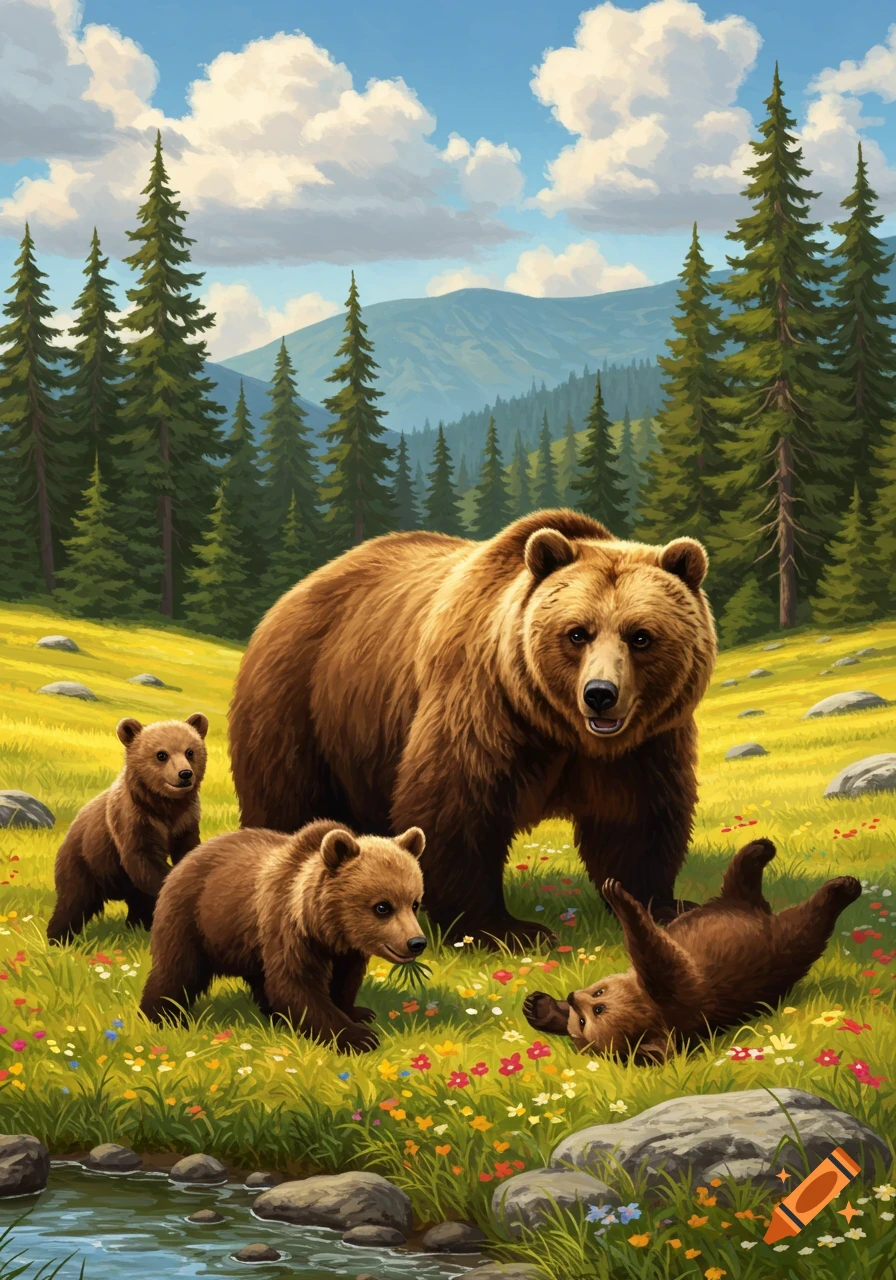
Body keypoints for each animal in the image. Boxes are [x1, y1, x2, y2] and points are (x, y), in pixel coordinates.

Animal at [46, 714, 209, 943]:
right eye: (161, 754)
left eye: (190, 751)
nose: (185, 773)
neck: (164, 805)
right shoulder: (132, 820)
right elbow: (143, 859)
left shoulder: (185, 822)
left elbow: (187, 849)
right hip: (84, 861)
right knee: (73, 901)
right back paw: (58, 938)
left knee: (138, 902)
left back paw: (139, 926)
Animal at [139, 820, 426, 1053]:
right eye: (382, 907)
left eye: (414, 903)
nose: (416, 943)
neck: (326, 927)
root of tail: (184, 861)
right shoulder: (289, 930)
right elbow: (296, 985)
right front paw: (359, 1038)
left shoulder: (346, 951)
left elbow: (345, 980)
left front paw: (358, 1012)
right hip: (192, 918)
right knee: (177, 969)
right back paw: (161, 1016)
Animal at [228, 509, 717, 948]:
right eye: (577, 632)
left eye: (641, 636)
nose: (600, 693)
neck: (560, 729)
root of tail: (292, 593)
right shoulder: (483, 704)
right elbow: (457, 805)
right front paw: (505, 930)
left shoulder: (645, 744)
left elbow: (638, 818)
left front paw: (666, 906)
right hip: (304, 709)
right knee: (290, 804)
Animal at [523, 838, 862, 1061]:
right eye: (586, 1019)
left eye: (598, 997)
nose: (572, 996)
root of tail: (759, 911)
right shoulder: (681, 995)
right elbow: (660, 958)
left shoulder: (677, 986)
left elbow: (656, 955)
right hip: (782, 941)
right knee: (806, 920)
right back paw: (843, 886)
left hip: (736, 908)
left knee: (743, 877)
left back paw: (763, 848)